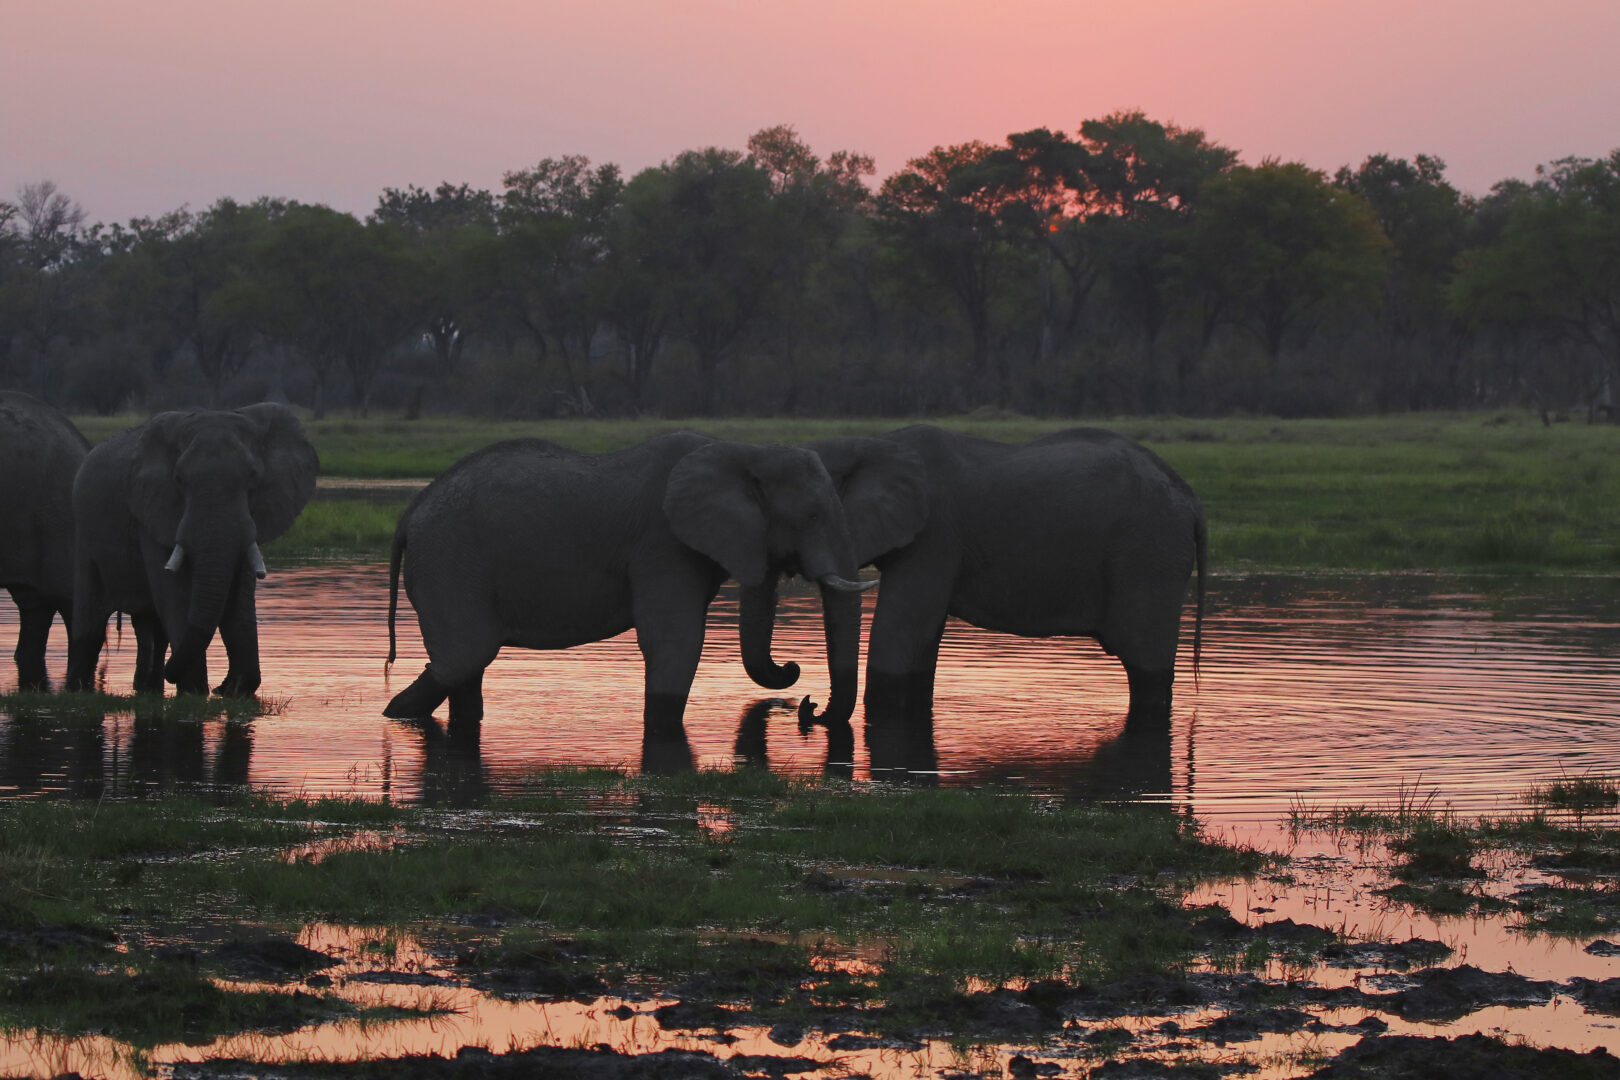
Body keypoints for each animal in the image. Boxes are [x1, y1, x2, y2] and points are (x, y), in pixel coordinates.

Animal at [65, 404, 318, 697]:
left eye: (254, 476)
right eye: (178, 479)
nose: (220, 686)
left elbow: (239, 593)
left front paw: (235, 691)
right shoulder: (152, 511)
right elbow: (174, 590)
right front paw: (195, 691)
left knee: (150, 626)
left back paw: (148, 686)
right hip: (83, 529)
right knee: (90, 619)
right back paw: (78, 688)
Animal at [383, 431, 873, 736]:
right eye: (813, 515)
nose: (807, 702)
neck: (743, 451)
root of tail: (410, 513)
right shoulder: (662, 543)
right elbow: (675, 640)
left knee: (466, 667)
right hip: (449, 559)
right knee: (464, 657)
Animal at [806, 425, 1206, 725]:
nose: (809, 707)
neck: (870, 443)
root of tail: (1190, 496)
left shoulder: (935, 535)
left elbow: (900, 631)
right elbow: (922, 638)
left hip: (1149, 552)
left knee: (1145, 668)